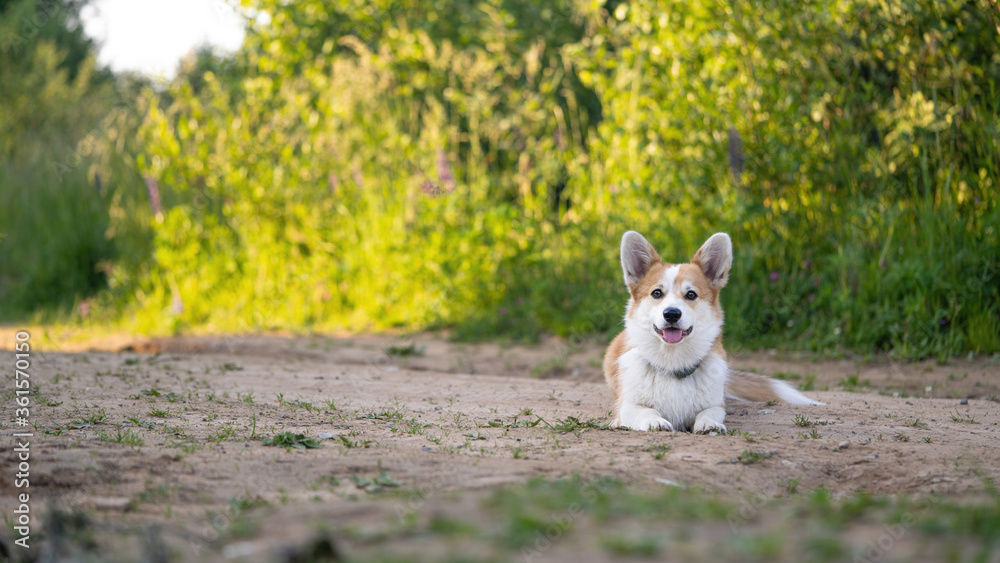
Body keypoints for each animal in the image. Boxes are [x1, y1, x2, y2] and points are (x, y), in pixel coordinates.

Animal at [600, 231, 820, 434]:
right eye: (656, 293)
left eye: (691, 294)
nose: (671, 314)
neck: (673, 363)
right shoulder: (626, 407)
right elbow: (645, 411)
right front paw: (655, 421)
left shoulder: (716, 405)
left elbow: (709, 412)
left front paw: (708, 424)